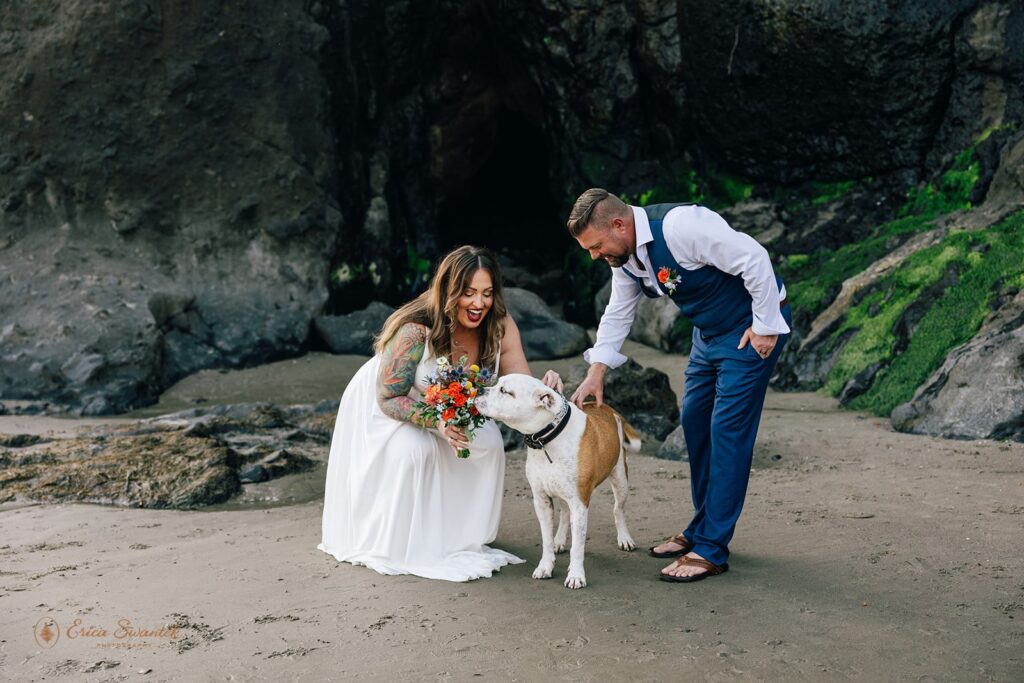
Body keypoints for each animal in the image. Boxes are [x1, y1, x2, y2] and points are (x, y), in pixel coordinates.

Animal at [473, 374, 638, 589]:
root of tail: (609, 409)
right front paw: (546, 565)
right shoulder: (541, 500)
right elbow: (547, 539)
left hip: (620, 479)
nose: (479, 390)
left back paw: (625, 538)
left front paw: (576, 575)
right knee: (565, 514)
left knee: (618, 510)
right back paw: (560, 540)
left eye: (505, 391)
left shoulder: (579, 504)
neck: (546, 439)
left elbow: (578, 546)